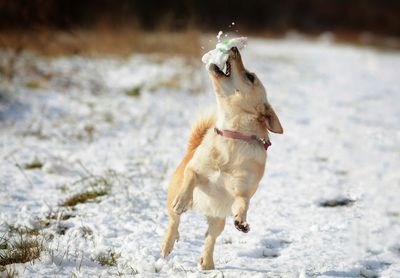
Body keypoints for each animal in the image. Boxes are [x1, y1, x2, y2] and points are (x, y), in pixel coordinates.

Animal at [161, 46, 282, 270]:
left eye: (250, 77)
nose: (233, 48)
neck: (232, 137)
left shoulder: (242, 190)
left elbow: (243, 203)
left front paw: (241, 221)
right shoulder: (195, 168)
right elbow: (192, 176)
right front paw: (183, 200)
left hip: (218, 220)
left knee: (210, 238)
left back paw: (207, 263)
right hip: (173, 198)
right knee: (174, 221)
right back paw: (168, 243)